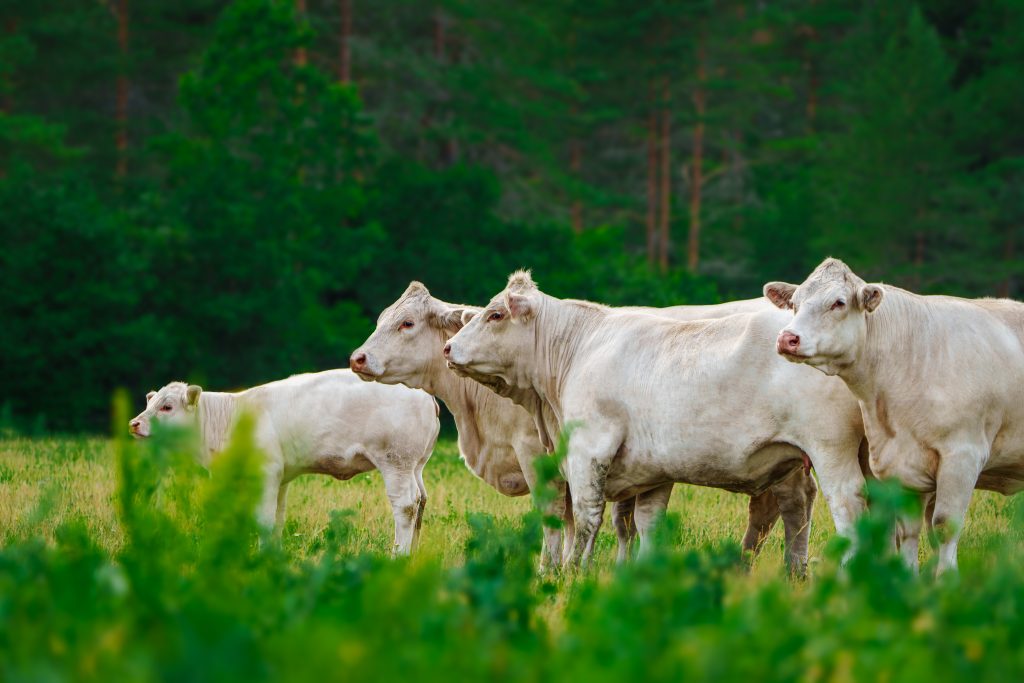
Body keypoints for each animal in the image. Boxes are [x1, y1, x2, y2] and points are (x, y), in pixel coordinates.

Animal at [129, 370, 440, 555]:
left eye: (167, 406)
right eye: (149, 403)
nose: (134, 423)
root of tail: (424, 395)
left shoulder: (266, 473)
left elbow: (265, 520)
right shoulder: (282, 479)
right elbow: (277, 519)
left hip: (396, 462)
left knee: (405, 506)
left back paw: (398, 555)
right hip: (416, 466)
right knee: (421, 501)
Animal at [350, 282, 817, 569]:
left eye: (406, 323)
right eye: (381, 318)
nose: (358, 357)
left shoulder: (542, 456)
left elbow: (560, 515)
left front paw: (551, 569)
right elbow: (611, 521)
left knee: (787, 506)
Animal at [444, 271, 866, 571]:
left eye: (495, 314)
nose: (448, 347)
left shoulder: (588, 450)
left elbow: (585, 518)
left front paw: (571, 573)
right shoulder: (654, 472)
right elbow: (646, 524)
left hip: (832, 452)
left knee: (845, 507)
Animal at [765, 257, 1024, 573]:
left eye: (838, 302)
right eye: (795, 304)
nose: (787, 338)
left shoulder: (963, 455)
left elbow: (944, 526)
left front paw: (947, 579)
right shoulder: (900, 465)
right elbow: (907, 531)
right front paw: (908, 576)